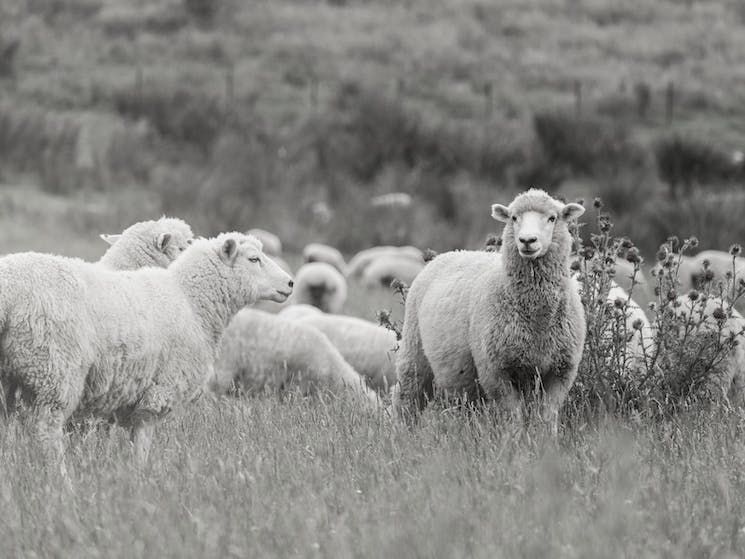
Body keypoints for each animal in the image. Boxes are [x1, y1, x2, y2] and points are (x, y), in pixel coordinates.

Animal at [0, 233, 293, 466]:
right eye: (254, 259)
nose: (290, 283)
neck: (191, 301)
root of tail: (8, 290)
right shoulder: (159, 390)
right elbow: (142, 440)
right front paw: (140, 476)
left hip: (10, 377)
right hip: (54, 369)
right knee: (47, 431)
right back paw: (61, 481)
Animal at [392, 189, 586, 433]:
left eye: (553, 218)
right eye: (514, 218)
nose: (527, 240)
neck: (537, 322)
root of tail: (451, 253)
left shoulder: (561, 371)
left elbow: (546, 417)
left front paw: (545, 441)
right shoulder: (496, 371)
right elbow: (513, 417)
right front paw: (514, 441)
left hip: (463, 377)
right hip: (414, 352)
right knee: (407, 397)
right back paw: (403, 432)